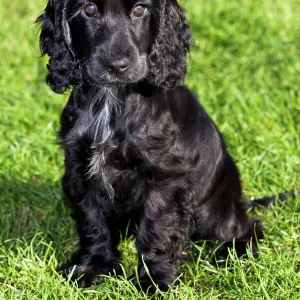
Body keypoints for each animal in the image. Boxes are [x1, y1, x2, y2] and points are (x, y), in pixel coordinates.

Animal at [38, 0, 264, 292]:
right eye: (89, 10)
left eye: (140, 10)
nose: (117, 66)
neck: (112, 99)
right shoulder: (79, 168)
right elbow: (92, 221)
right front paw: (93, 268)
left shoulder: (164, 178)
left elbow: (156, 230)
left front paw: (154, 281)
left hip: (214, 209)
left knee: (245, 228)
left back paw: (233, 253)